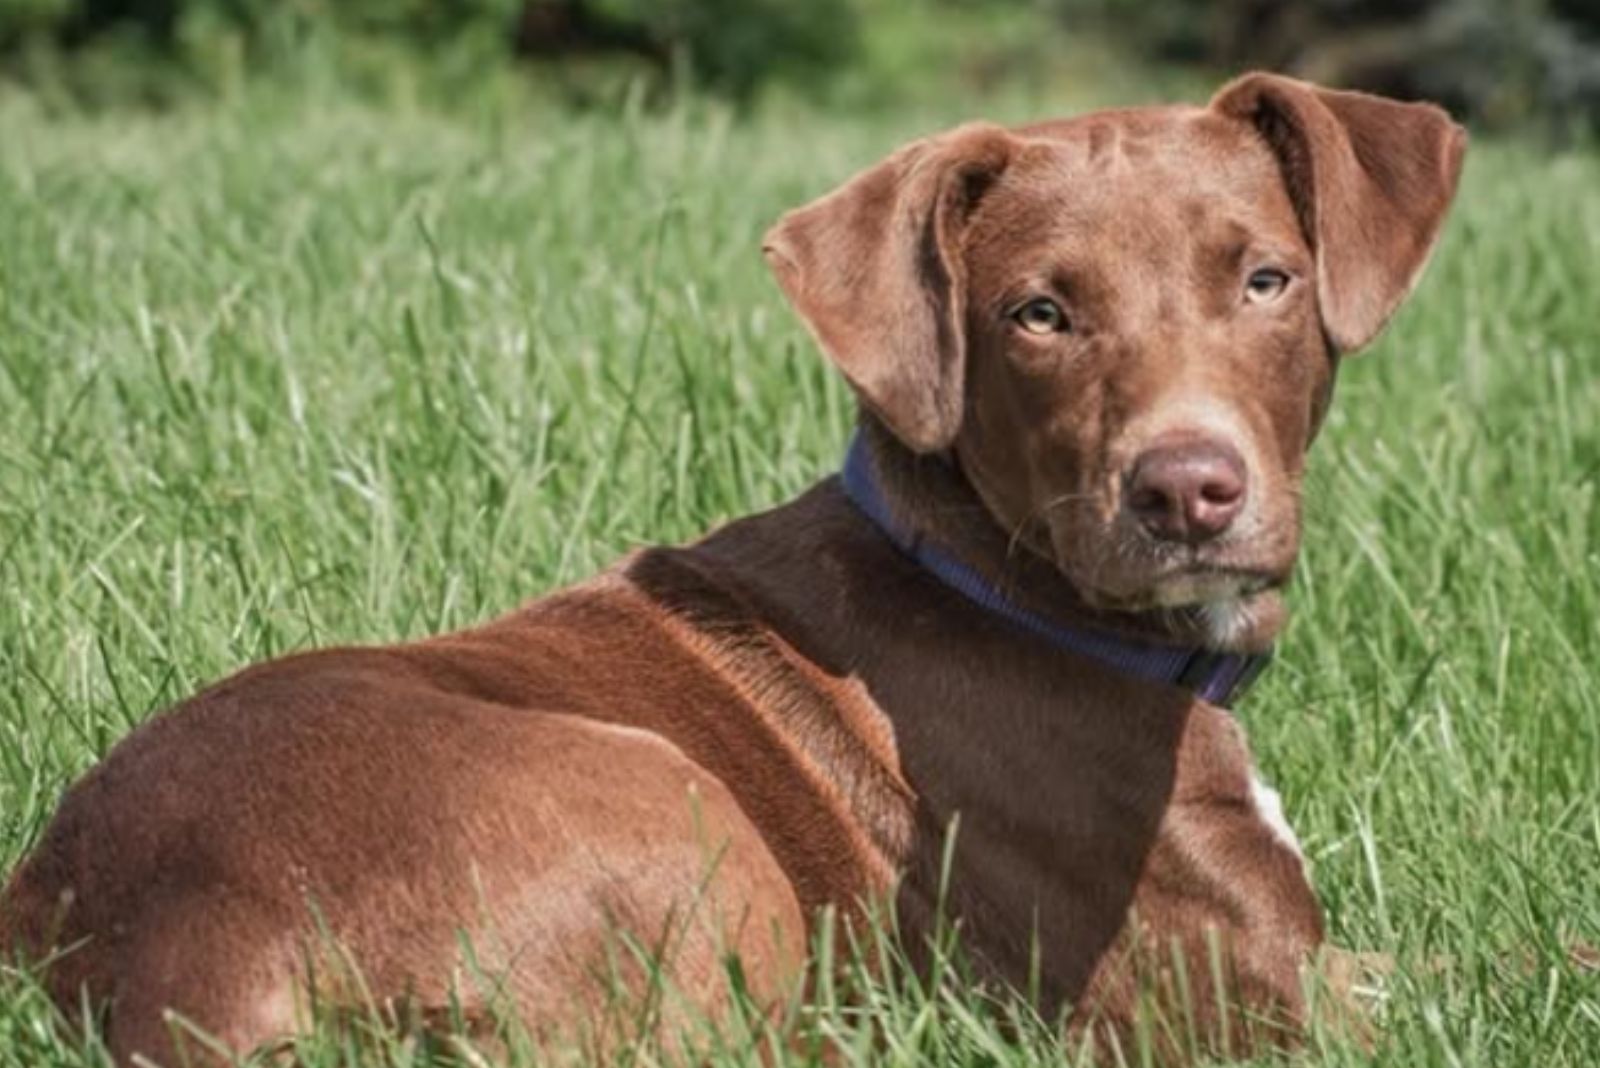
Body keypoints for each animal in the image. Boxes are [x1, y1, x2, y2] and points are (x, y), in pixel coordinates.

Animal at [0, 70, 1465, 1061]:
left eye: (1267, 281)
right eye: (1037, 313)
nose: (1187, 491)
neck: (994, 575)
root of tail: (185, 955)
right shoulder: (1267, 1002)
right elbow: (1496, 967)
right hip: (675, 805)